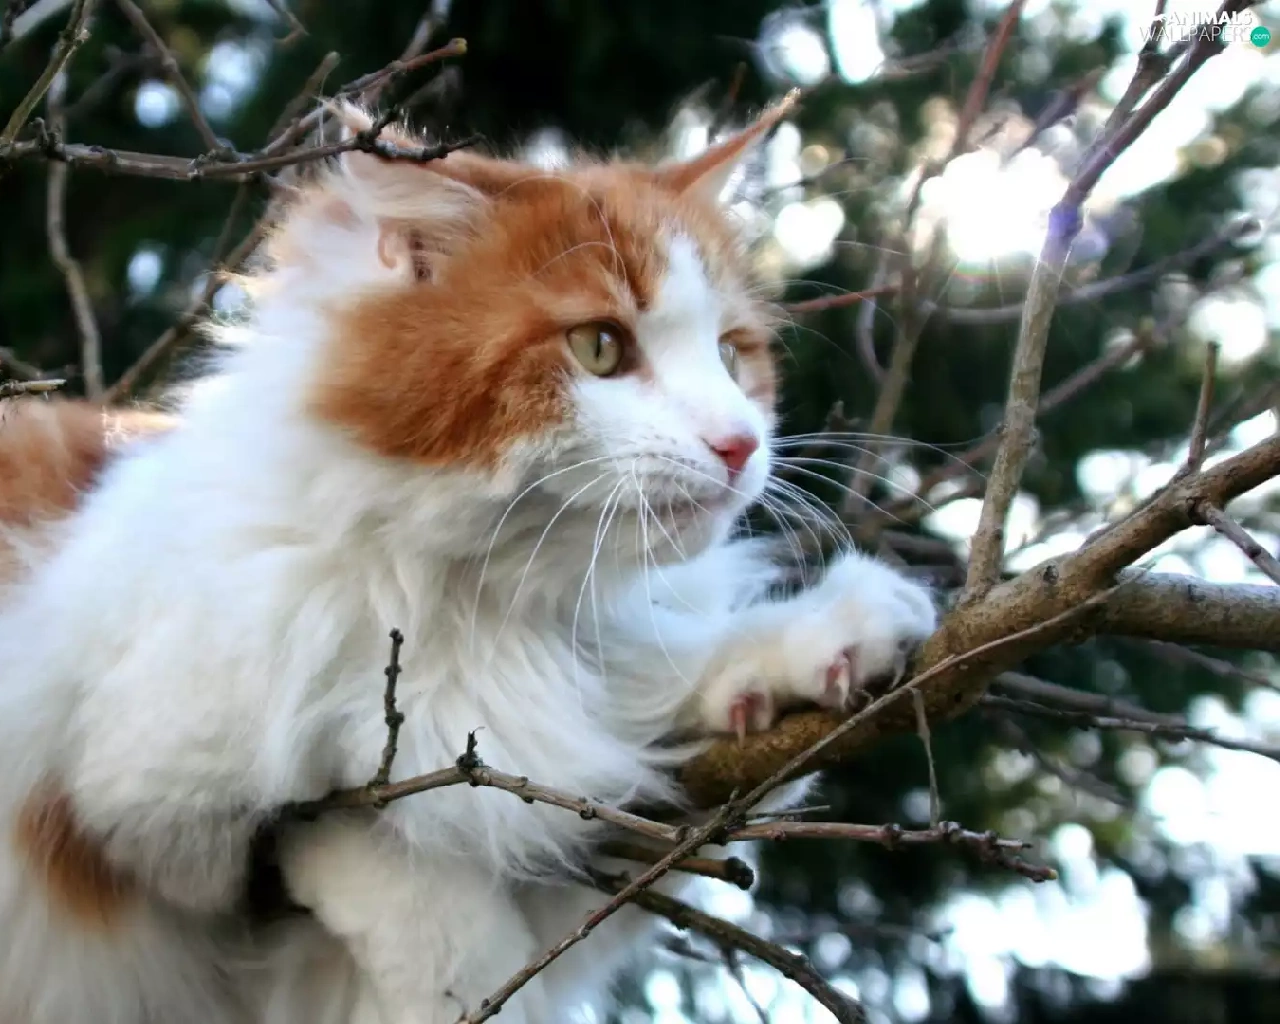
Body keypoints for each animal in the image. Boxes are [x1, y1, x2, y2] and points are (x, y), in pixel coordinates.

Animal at [0, 94, 937, 1024]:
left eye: (731, 355)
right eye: (600, 347)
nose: (741, 444)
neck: (474, 605)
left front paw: (807, 654)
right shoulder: (139, 810)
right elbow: (375, 857)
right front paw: (465, 966)